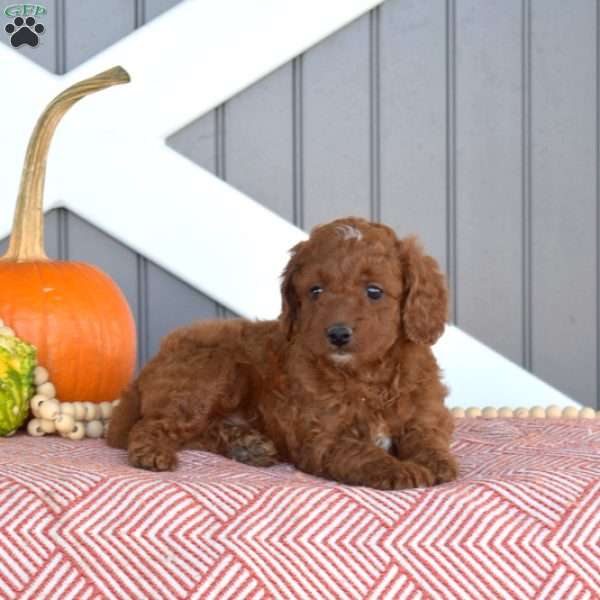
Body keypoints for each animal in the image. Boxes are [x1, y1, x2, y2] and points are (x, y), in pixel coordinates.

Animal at [108, 218, 458, 490]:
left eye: (374, 291)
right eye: (316, 291)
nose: (337, 334)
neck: (367, 377)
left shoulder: (425, 415)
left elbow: (428, 437)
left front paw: (437, 462)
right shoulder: (321, 438)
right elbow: (362, 452)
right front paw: (398, 469)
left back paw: (248, 446)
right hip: (209, 373)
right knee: (152, 425)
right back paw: (153, 454)